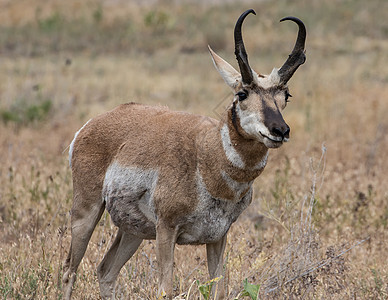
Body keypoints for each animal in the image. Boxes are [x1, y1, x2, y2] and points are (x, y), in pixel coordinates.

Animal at [63, 8, 306, 298]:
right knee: (69, 271)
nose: (280, 130)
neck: (206, 157)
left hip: (133, 232)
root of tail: (93, 123)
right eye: (242, 93)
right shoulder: (166, 230)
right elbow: (165, 290)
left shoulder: (218, 237)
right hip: (86, 212)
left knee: (105, 271)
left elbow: (219, 290)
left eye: (286, 95)